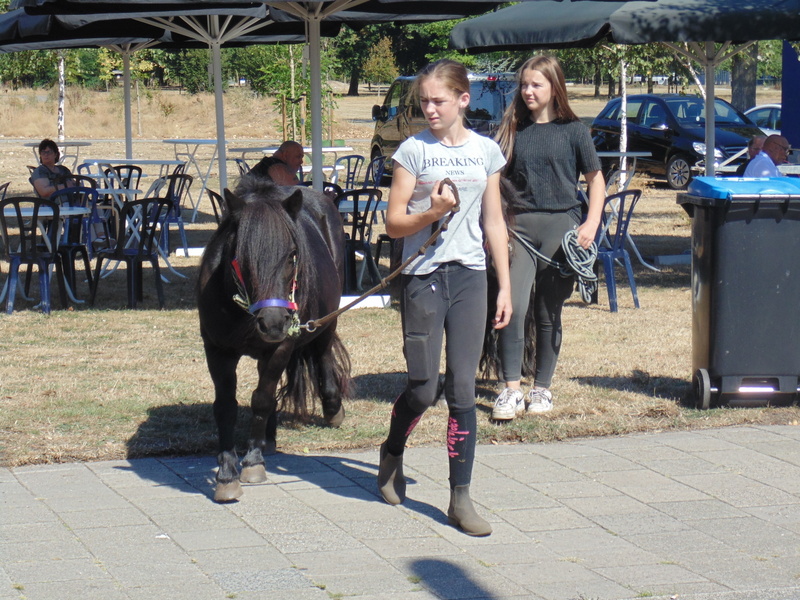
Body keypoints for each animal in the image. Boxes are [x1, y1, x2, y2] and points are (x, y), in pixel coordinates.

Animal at [197, 177, 351, 502]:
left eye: (293, 255)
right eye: (240, 257)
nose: (273, 322)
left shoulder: (281, 347)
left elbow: (262, 398)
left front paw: (253, 463)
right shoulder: (217, 349)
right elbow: (226, 405)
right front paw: (227, 474)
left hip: (327, 318)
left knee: (322, 353)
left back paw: (332, 409)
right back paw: (267, 437)